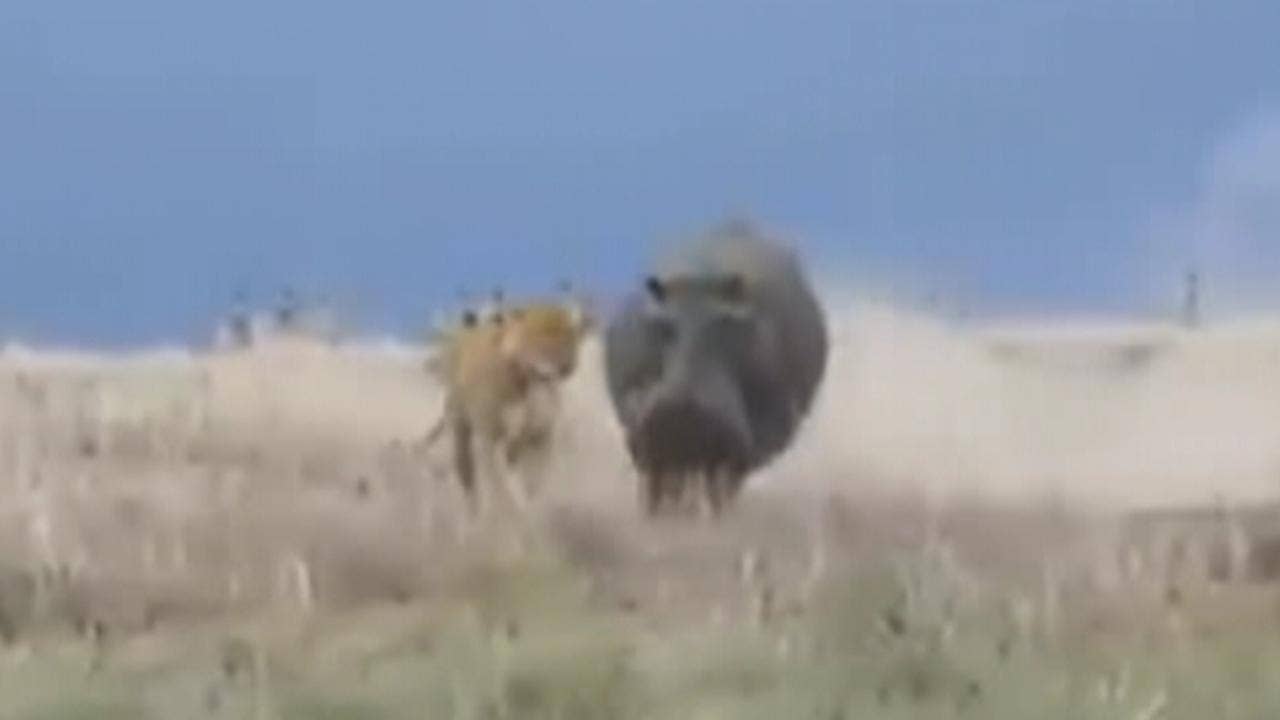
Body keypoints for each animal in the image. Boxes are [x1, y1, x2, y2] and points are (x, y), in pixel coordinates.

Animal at [421, 291, 592, 518]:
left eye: (565, 339)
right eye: (539, 337)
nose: (560, 366)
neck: (530, 381)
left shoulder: (538, 437)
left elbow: (533, 485)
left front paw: (531, 511)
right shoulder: (491, 436)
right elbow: (499, 484)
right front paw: (506, 513)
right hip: (461, 428)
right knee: (467, 473)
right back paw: (473, 514)